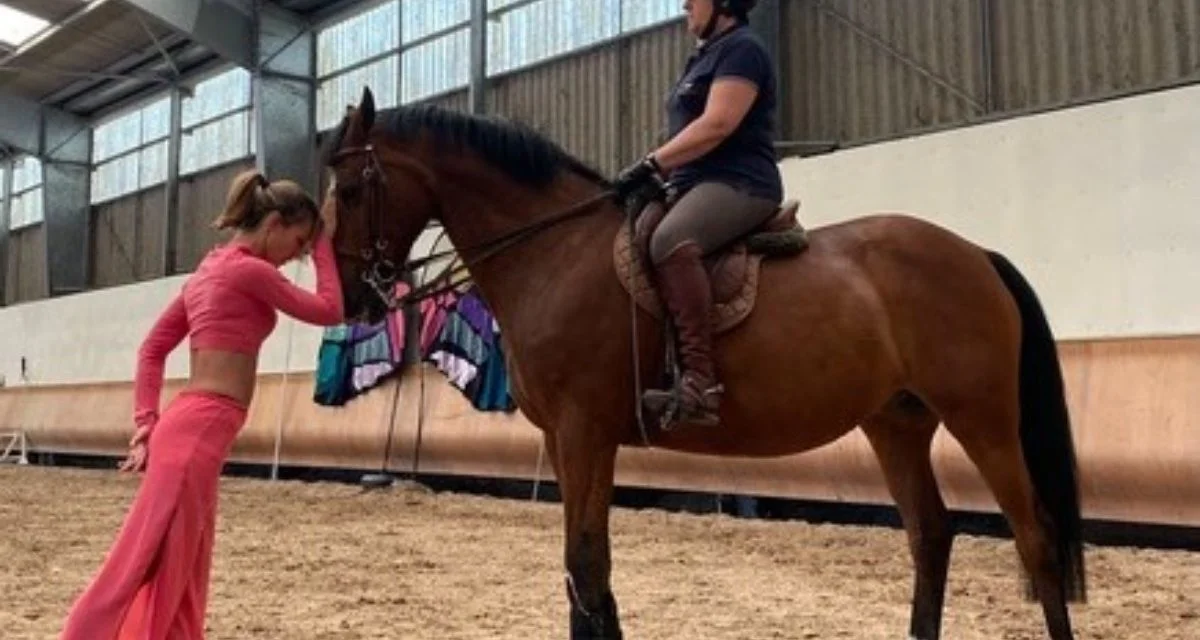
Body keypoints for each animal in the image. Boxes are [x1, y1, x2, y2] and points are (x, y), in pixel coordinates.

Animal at [319, 88, 1089, 638]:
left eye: (351, 191)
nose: (353, 295)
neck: (555, 251)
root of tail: (975, 253)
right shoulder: (563, 441)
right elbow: (581, 571)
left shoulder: (585, 432)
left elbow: (586, 564)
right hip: (896, 423)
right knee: (931, 536)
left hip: (983, 419)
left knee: (1036, 539)